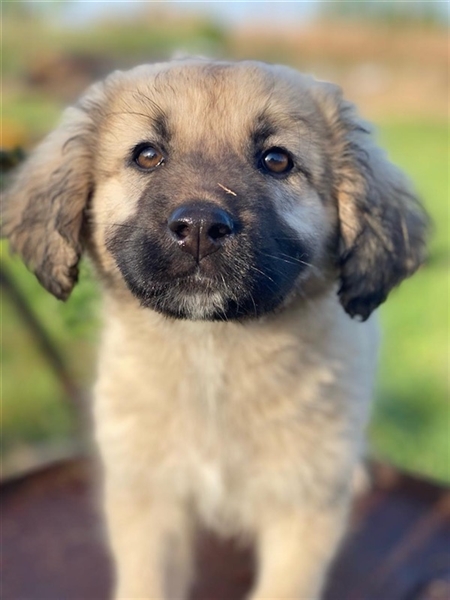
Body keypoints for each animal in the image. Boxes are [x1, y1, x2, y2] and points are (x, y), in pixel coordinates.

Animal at [3, 59, 427, 599]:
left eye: (277, 160)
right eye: (147, 155)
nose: (201, 228)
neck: (211, 354)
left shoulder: (303, 506)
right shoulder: (147, 498)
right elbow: (146, 583)